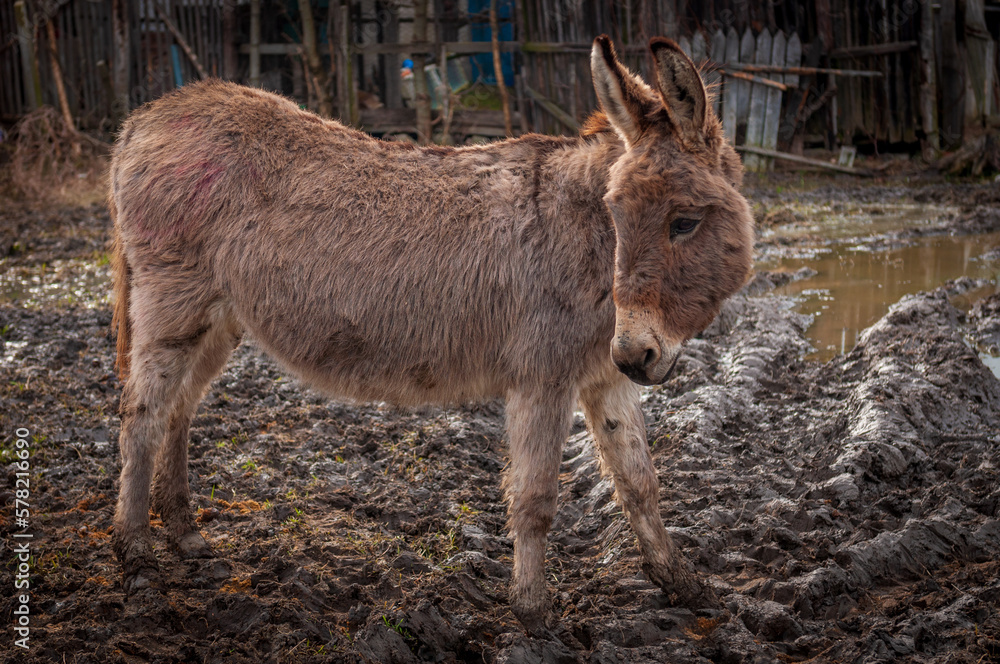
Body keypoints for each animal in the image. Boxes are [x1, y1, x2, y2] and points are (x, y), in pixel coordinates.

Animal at [108, 35, 754, 629]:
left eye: (683, 223)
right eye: (616, 214)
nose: (637, 353)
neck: (588, 245)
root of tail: (152, 113)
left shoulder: (604, 376)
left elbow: (639, 480)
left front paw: (684, 584)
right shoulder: (543, 376)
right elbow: (536, 496)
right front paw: (532, 610)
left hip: (219, 317)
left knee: (179, 408)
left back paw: (183, 532)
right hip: (172, 301)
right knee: (142, 412)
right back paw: (134, 549)